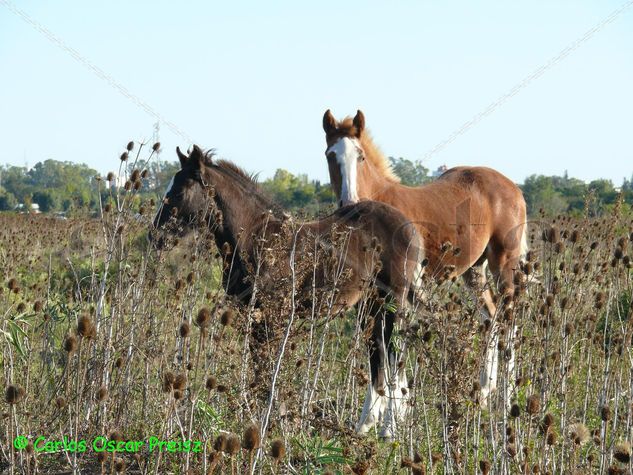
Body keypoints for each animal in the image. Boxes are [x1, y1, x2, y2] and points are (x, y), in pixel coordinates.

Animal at [151, 147, 422, 440]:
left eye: (179, 193)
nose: (156, 237)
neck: (257, 238)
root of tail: (410, 226)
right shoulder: (253, 316)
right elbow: (260, 369)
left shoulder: (272, 317)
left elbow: (269, 369)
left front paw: (272, 422)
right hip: (370, 304)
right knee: (379, 351)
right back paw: (365, 425)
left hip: (394, 301)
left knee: (395, 354)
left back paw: (389, 429)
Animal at [324, 109, 524, 410]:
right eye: (330, 155)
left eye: (360, 156)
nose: (349, 203)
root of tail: (513, 187)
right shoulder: (369, 296)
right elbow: (376, 350)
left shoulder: (398, 293)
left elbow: (392, 350)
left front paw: (395, 410)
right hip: (474, 271)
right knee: (491, 315)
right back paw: (483, 392)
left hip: (504, 263)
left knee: (509, 320)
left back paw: (506, 400)